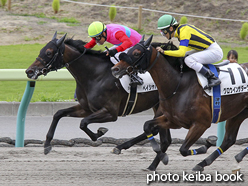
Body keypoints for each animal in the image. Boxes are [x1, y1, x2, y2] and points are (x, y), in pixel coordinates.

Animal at [111, 35, 248, 171]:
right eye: (129, 50)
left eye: (136, 53)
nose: (115, 69)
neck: (179, 85)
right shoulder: (172, 120)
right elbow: (147, 126)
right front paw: (162, 157)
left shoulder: (201, 123)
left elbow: (183, 150)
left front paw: (207, 144)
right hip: (238, 114)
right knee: (229, 140)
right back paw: (208, 162)